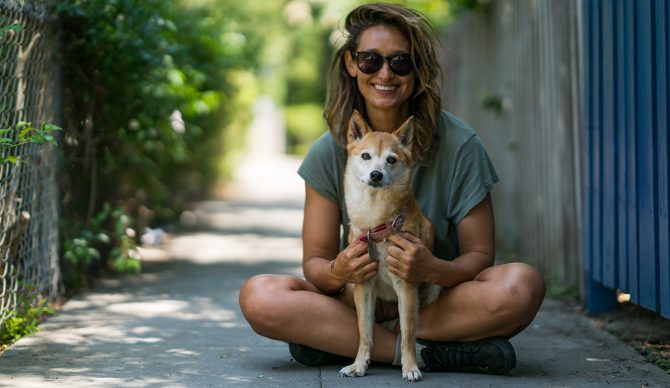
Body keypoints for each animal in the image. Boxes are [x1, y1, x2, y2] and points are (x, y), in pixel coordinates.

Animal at [338, 110, 444, 382]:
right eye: (366, 156)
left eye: (391, 159)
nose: (376, 174)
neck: (376, 221)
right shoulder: (363, 285)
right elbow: (364, 333)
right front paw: (359, 365)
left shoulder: (405, 286)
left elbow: (407, 334)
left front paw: (410, 367)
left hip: (432, 289)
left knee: (404, 326)